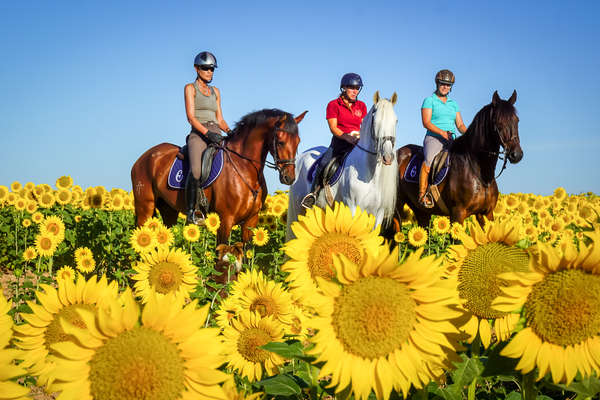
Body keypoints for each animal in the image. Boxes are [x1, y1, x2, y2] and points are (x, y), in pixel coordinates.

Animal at [133, 107, 308, 244]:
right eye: (281, 142)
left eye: (298, 141)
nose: (289, 178)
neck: (244, 167)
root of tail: (144, 157)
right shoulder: (225, 220)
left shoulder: (250, 221)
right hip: (145, 208)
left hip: (168, 210)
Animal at [286, 92, 398, 239]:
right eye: (375, 120)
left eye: (396, 121)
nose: (388, 157)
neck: (369, 174)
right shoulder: (353, 208)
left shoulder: (378, 213)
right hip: (298, 208)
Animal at [398, 91, 520, 228]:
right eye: (498, 122)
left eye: (516, 120)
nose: (517, 154)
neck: (480, 173)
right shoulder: (458, 213)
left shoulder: (486, 214)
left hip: (421, 211)